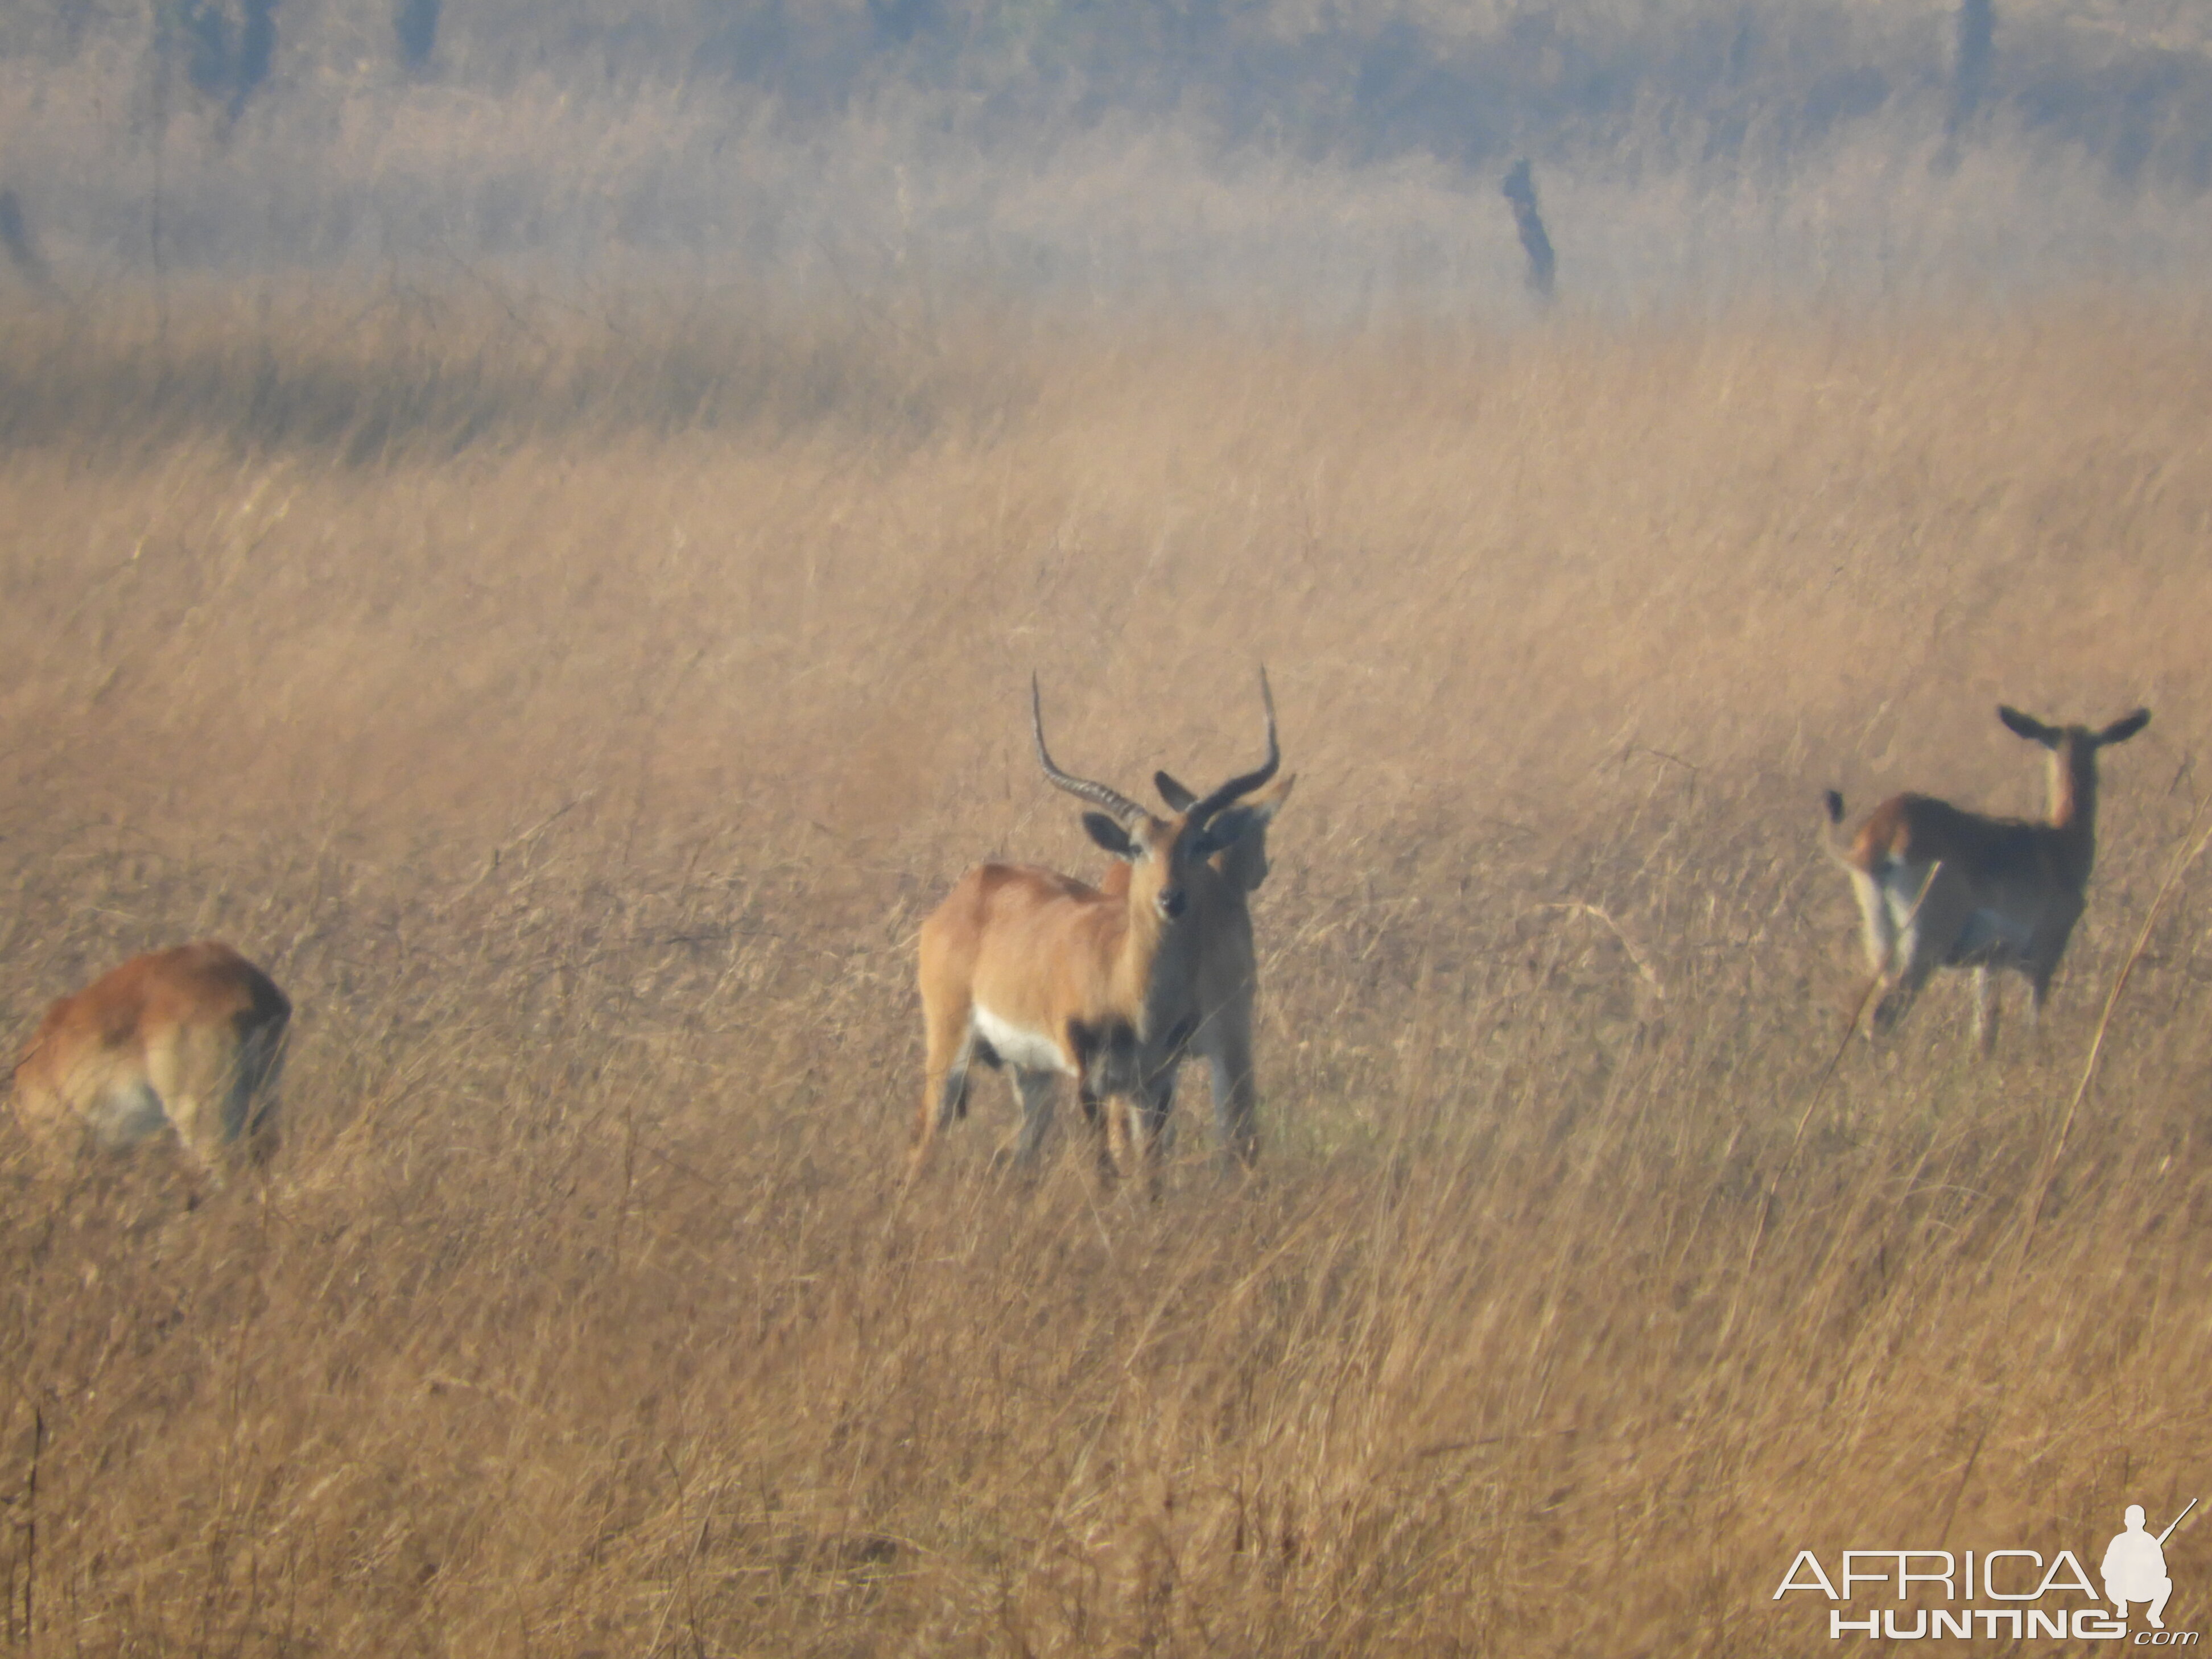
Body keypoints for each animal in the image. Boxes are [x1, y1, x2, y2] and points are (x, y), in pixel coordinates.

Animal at [907, 676, 1283, 1185]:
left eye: (1199, 844)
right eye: (1138, 847)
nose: (1171, 899)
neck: (1128, 985)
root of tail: (973, 886)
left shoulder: (1154, 1082)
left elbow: (1151, 1173)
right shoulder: (1091, 1079)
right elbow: (1105, 1168)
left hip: (1031, 1072)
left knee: (1017, 1153)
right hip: (951, 1047)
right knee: (926, 1137)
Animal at [1822, 703, 2150, 1053]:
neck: (2059, 845)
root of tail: (1881, 835)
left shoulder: (1988, 964)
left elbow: (1984, 1031)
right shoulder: (2043, 959)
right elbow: (2032, 1025)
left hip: (1883, 948)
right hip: (1922, 952)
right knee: (1883, 1015)